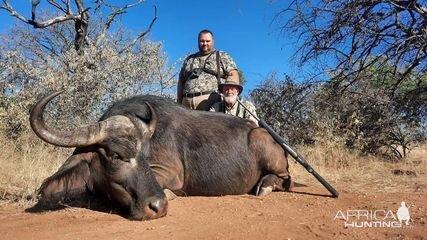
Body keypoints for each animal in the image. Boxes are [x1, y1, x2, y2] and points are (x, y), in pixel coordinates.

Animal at [29, 91, 290, 220]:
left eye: (145, 156)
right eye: (115, 155)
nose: (158, 207)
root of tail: (257, 130)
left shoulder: (171, 175)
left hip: (268, 149)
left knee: (284, 178)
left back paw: (265, 186)